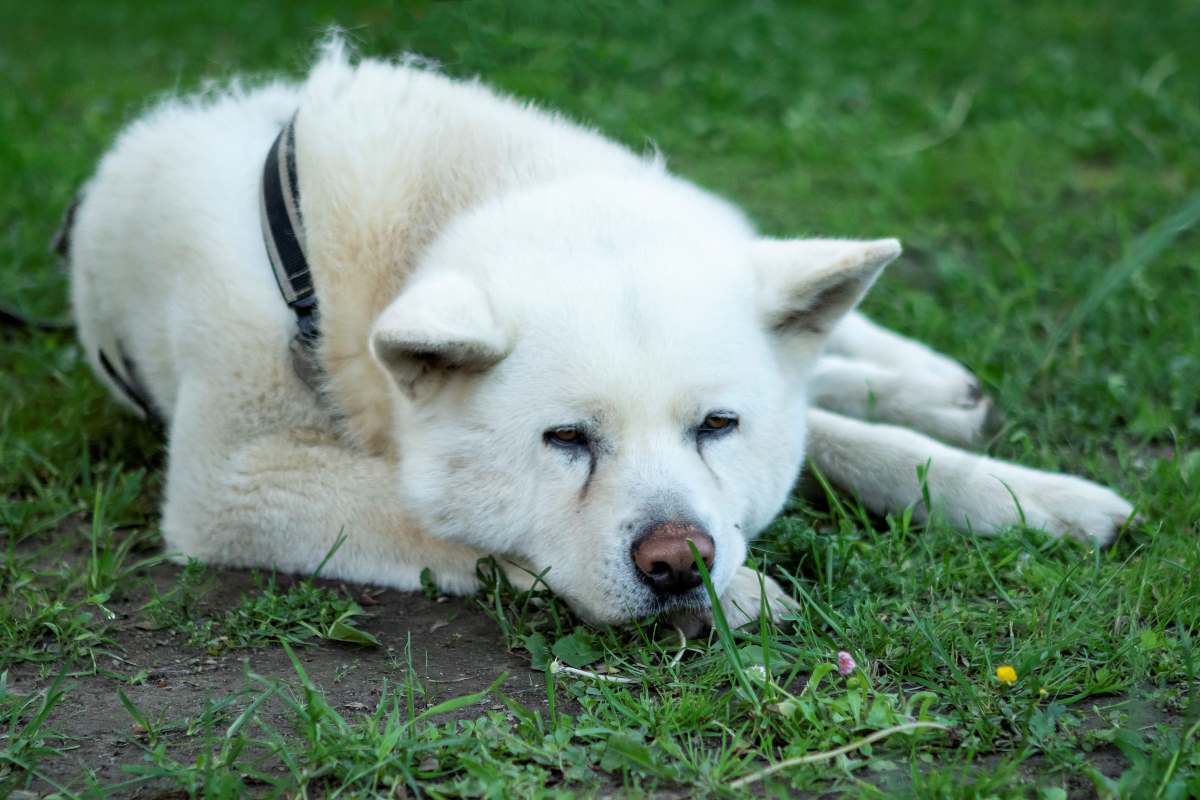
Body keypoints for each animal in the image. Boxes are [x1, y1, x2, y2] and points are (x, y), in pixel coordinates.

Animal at [68, 42, 1132, 633]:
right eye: (566, 440)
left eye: (718, 427)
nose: (678, 562)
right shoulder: (234, 485)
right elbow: (438, 518)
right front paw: (744, 594)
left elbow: (862, 446)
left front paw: (1032, 497)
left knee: (823, 327)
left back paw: (929, 381)